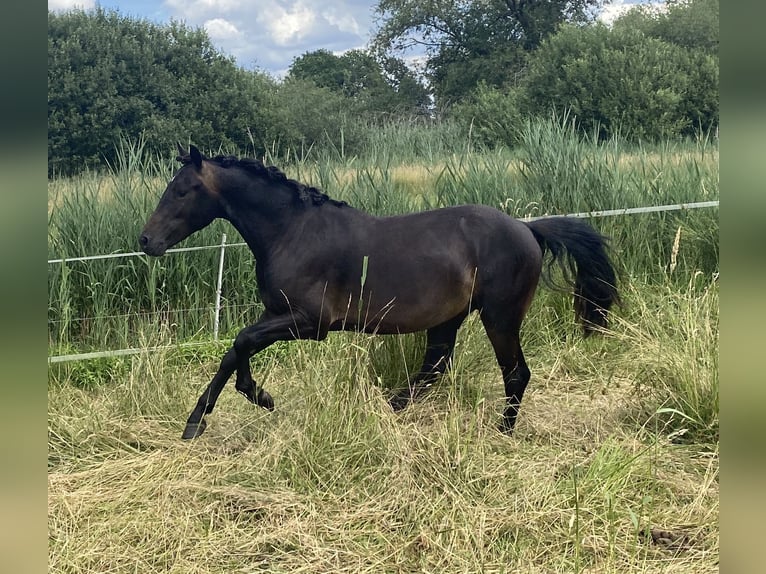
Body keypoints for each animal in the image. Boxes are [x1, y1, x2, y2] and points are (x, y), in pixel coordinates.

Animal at [139, 144, 619, 439]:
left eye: (183, 190)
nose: (146, 241)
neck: (291, 232)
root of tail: (527, 229)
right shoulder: (276, 314)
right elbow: (233, 351)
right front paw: (200, 422)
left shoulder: (310, 322)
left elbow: (241, 342)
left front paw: (256, 399)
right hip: (448, 319)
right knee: (434, 369)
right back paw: (387, 410)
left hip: (499, 316)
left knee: (515, 373)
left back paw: (500, 432)